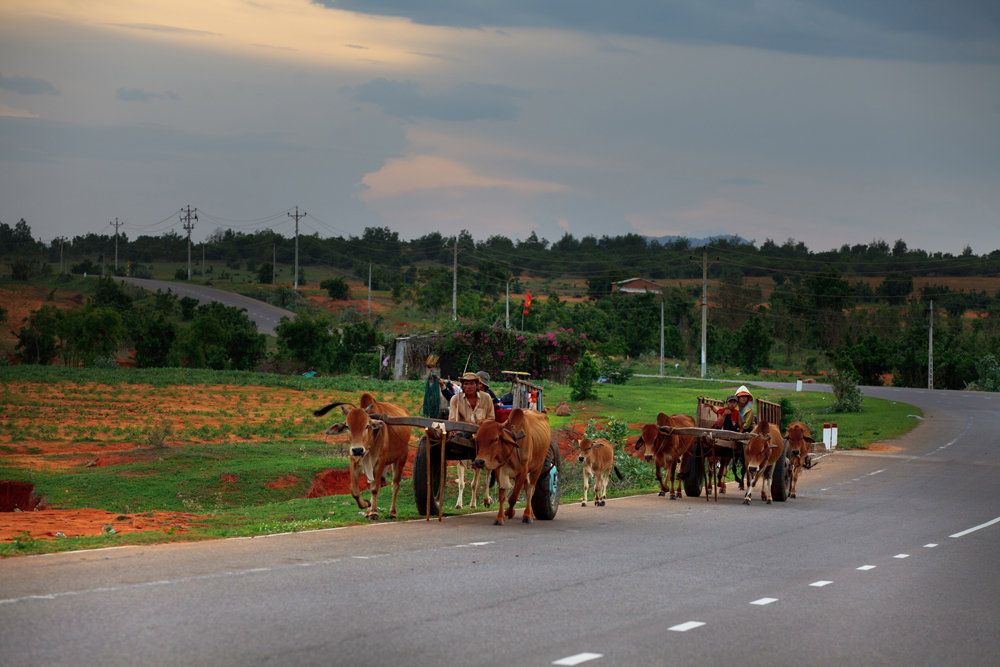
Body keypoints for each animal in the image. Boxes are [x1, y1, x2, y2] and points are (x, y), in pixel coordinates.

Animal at [310, 392, 408, 520]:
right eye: (347, 426)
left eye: (367, 426)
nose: (357, 449)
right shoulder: (354, 462)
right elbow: (355, 491)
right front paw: (367, 504)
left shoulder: (380, 463)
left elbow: (374, 489)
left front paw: (374, 512)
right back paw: (368, 511)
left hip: (400, 459)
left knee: (395, 485)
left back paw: (392, 512)